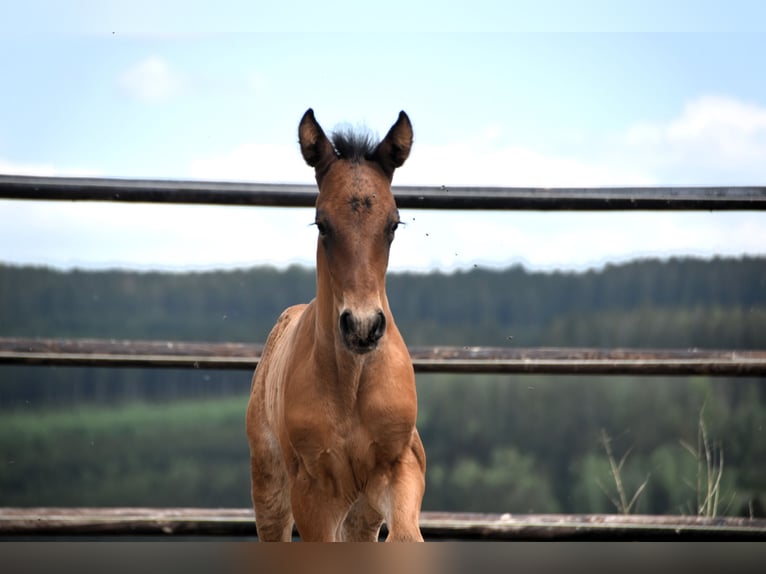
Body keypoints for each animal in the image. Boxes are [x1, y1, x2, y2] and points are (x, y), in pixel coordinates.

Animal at [246, 109, 426, 544]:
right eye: (322, 224)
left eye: (393, 224)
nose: (362, 326)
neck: (352, 383)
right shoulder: (314, 491)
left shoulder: (401, 464)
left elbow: (405, 535)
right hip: (270, 489)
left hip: (361, 513)